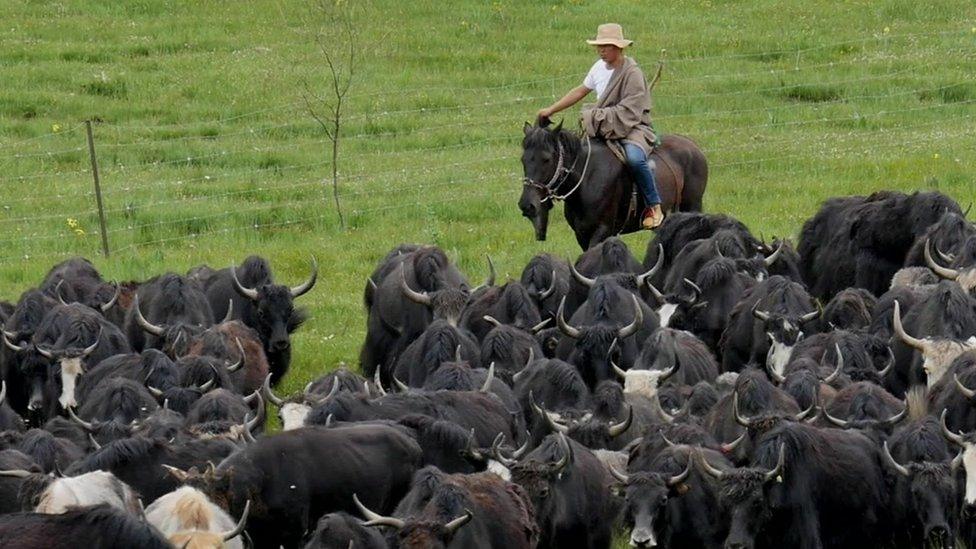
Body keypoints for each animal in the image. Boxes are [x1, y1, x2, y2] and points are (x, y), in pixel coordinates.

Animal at [520, 122, 708, 250]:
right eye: (523, 159)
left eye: (546, 159)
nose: (527, 205)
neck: (586, 180)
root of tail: (693, 147)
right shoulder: (581, 234)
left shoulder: (603, 230)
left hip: (692, 205)